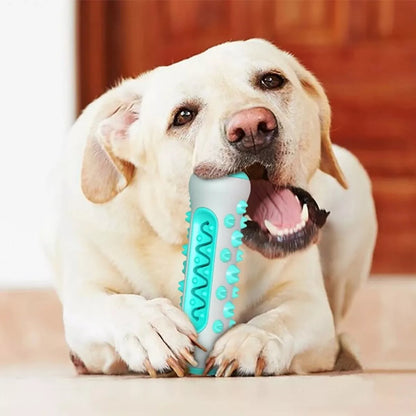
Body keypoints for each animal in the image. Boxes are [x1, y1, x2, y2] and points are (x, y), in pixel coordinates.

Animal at [44, 39, 378, 376]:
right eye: (183, 116)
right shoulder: (83, 300)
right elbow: (116, 304)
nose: (252, 127)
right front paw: (152, 326)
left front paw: (253, 339)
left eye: (272, 80)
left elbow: (280, 318)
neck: (176, 237)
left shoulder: (309, 303)